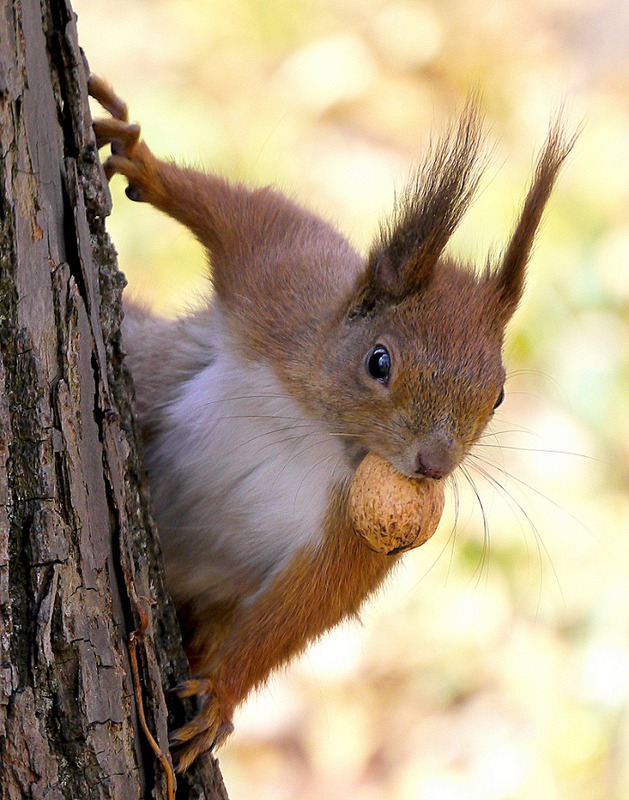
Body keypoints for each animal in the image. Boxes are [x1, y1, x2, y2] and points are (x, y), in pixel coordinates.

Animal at [88, 75, 576, 768]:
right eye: (379, 361)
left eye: (500, 395)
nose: (435, 465)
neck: (317, 429)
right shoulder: (282, 287)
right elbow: (246, 213)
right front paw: (141, 161)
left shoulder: (358, 536)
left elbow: (308, 605)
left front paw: (220, 696)